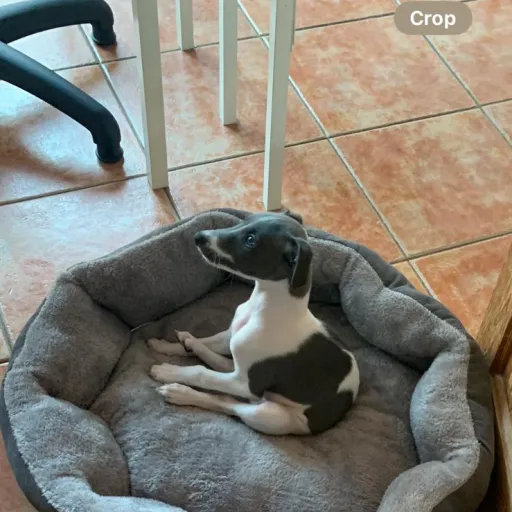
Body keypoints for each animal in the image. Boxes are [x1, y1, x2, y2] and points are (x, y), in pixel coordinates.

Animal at [149, 211, 359, 435]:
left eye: (250, 240)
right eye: (246, 219)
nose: (199, 236)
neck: (263, 310)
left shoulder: (244, 384)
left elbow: (201, 374)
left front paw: (169, 372)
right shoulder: (231, 337)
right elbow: (207, 342)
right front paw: (165, 345)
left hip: (268, 414)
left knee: (227, 403)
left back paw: (180, 392)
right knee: (220, 366)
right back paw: (187, 341)